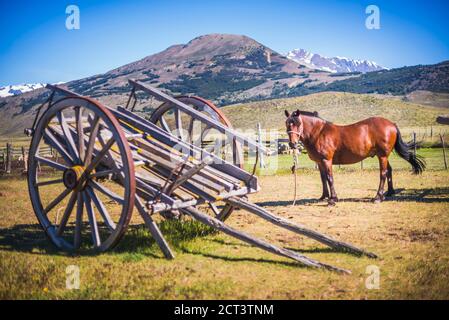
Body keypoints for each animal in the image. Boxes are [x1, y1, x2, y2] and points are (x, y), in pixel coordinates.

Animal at [284, 110, 424, 205]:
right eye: (287, 124)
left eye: (298, 124)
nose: (292, 144)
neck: (319, 133)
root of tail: (392, 124)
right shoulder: (320, 162)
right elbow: (323, 179)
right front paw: (324, 196)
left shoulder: (326, 160)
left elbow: (330, 178)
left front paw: (333, 199)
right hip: (383, 156)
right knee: (389, 170)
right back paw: (389, 193)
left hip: (382, 156)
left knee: (383, 173)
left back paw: (378, 197)